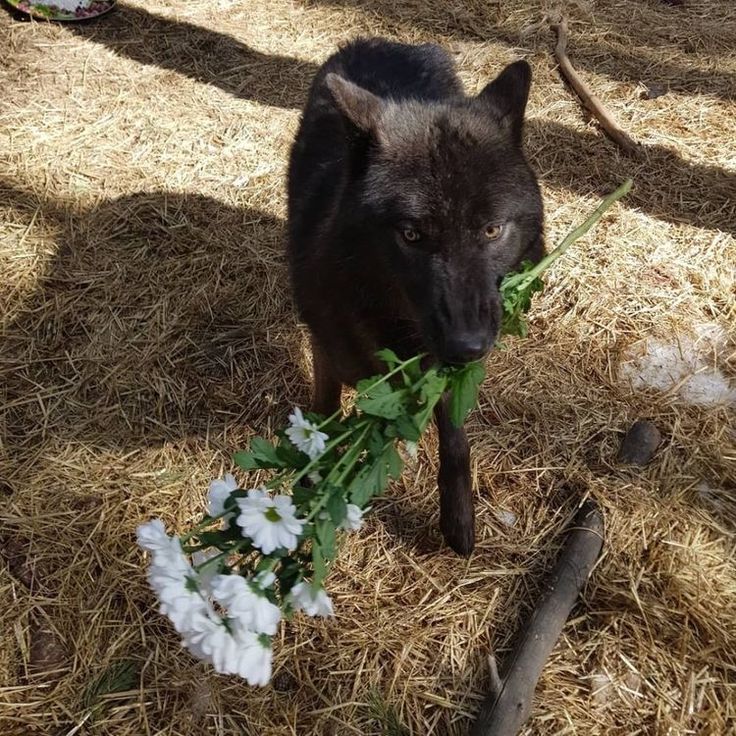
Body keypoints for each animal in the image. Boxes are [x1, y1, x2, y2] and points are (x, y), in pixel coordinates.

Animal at [284, 36, 544, 552]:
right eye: (410, 234)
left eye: (491, 229)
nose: (468, 345)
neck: (397, 331)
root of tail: (384, 41)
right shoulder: (326, 346)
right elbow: (324, 412)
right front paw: (315, 483)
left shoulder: (447, 376)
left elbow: (456, 439)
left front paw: (458, 518)